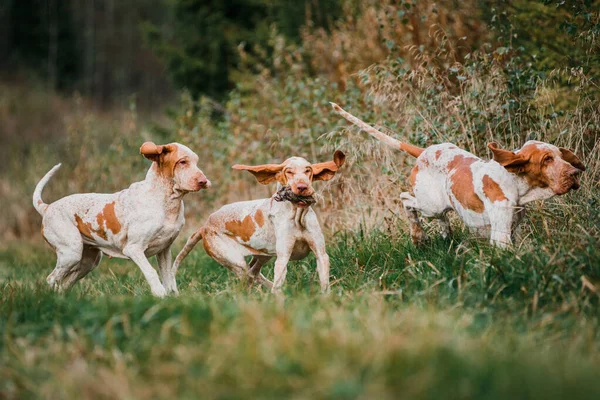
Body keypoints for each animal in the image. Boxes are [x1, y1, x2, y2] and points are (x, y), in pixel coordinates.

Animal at [33, 141, 211, 296]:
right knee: (51, 279)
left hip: (88, 261)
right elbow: (151, 272)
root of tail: (47, 207)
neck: (165, 200)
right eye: (182, 162)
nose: (204, 181)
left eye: (196, 161)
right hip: (71, 253)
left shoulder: (164, 250)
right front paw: (159, 295)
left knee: (63, 284)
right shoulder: (134, 249)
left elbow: (169, 278)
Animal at [172, 150, 346, 294]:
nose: (302, 187)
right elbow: (278, 285)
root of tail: (204, 226)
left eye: (308, 170)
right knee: (248, 278)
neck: (297, 215)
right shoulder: (283, 258)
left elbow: (324, 283)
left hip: (264, 255)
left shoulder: (321, 255)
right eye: (289, 171)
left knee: (254, 274)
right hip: (236, 262)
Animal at [330, 102, 584, 247]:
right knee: (406, 200)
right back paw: (418, 236)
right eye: (546, 159)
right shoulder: (500, 236)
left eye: (559, 155)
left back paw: (444, 232)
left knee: (440, 216)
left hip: (438, 206)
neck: (514, 182)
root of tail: (424, 151)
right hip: (429, 204)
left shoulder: (515, 229)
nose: (574, 174)